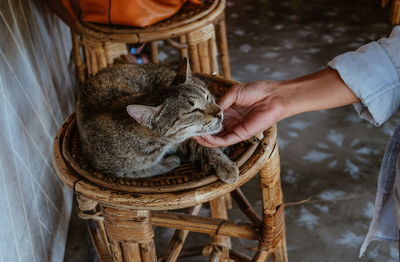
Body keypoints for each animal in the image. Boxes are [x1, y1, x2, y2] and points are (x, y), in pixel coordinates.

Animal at [77, 58, 239, 183]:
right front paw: (170, 161)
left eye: (207, 97)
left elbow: (204, 146)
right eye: (194, 111)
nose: (219, 113)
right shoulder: (109, 169)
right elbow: (144, 170)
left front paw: (224, 163)